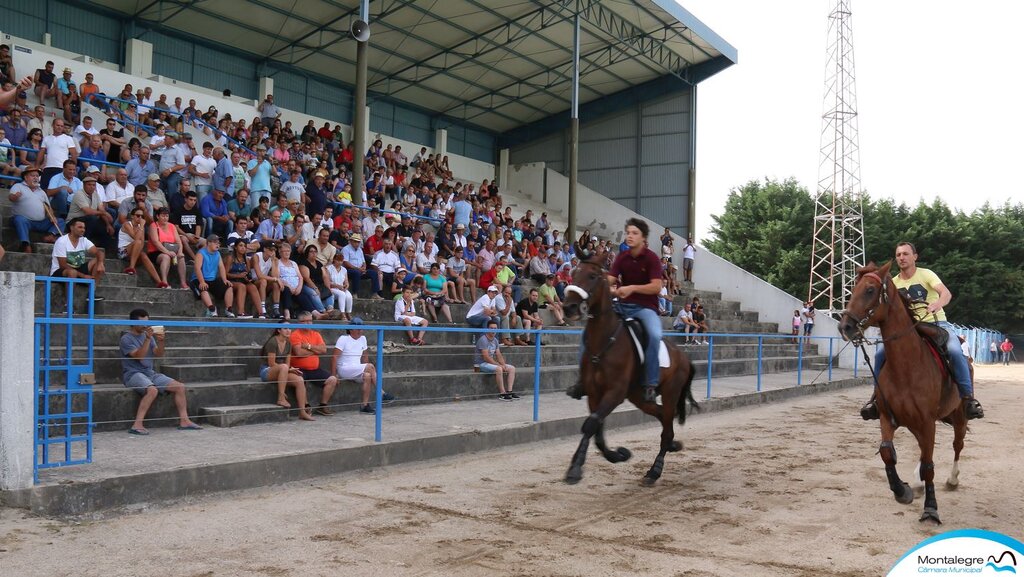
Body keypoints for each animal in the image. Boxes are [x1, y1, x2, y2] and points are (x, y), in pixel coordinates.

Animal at [557, 259, 700, 485]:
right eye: (573, 272)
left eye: (593, 276)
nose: (569, 307)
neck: (605, 341)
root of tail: (684, 358)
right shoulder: (594, 393)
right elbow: (596, 429)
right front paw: (617, 455)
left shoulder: (615, 393)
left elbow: (590, 425)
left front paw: (575, 469)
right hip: (638, 397)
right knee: (663, 418)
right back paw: (672, 446)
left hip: (670, 392)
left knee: (667, 426)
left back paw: (655, 470)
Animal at [835, 262, 962, 524]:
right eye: (853, 288)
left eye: (870, 290)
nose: (845, 327)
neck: (908, 365)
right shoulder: (888, 416)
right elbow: (887, 453)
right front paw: (902, 490)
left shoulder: (927, 422)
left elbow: (929, 466)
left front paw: (931, 509)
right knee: (924, 451)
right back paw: (917, 483)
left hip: (959, 415)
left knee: (957, 444)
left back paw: (953, 479)